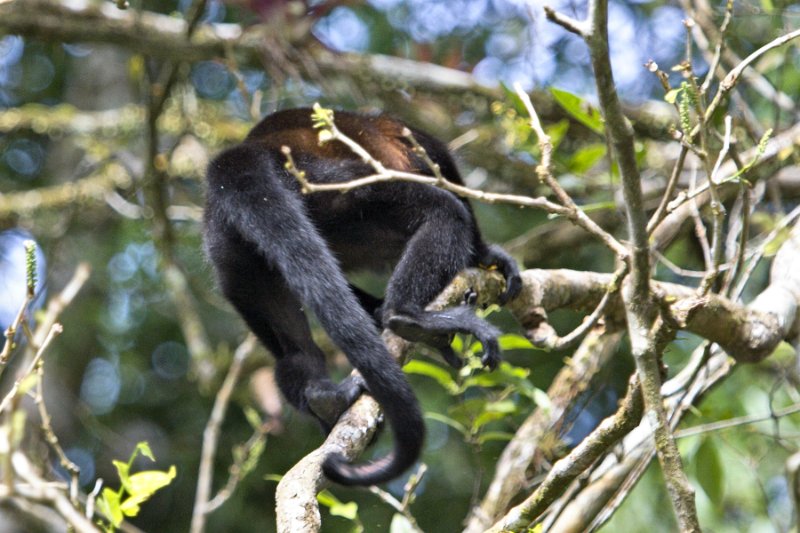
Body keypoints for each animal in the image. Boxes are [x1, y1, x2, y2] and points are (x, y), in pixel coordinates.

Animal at [203, 108, 520, 486]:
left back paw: (325, 397)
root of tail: (251, 153)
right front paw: (485, 255)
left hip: (232, 259)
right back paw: (407, 316)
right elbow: (446, 174)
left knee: (294, 349)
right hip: (336, 190)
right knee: (444, 210)